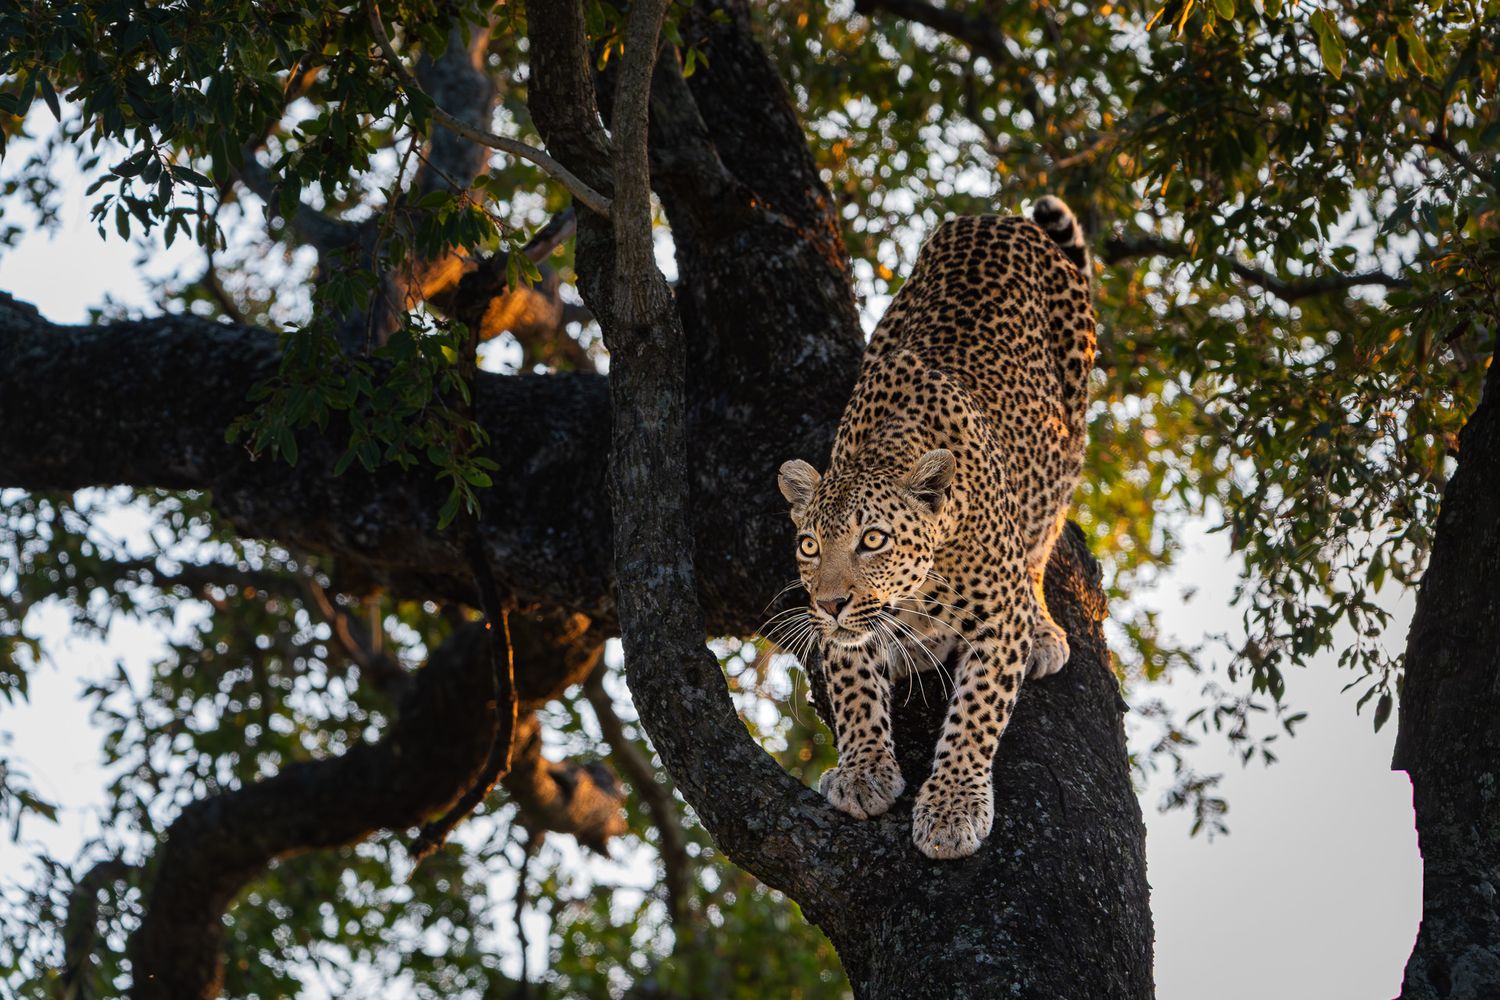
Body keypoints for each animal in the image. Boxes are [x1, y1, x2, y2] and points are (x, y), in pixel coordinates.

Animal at [775, 196, 1096, 860]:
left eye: (873, 540)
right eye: (810, 546)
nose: (832, 603)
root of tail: (1000, 219)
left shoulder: (999, 620)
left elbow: (976, 714)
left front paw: (952, 808)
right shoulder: (838, 631)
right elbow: (852, 685)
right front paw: (865, 771)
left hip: (1072, 422)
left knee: (1046, 534)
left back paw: (1044, 629)